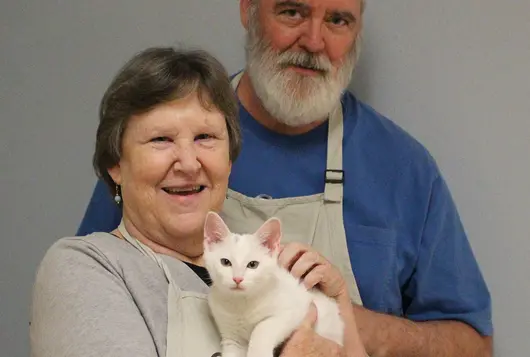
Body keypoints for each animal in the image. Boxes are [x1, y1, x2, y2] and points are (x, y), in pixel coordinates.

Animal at [201, 211, 342, 356]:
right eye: (225, 262)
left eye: (253, 264)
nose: (237, 279)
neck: (242, 304)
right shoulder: (231, 336)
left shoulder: (293, 309)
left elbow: (262, 327)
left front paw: (258, 352)